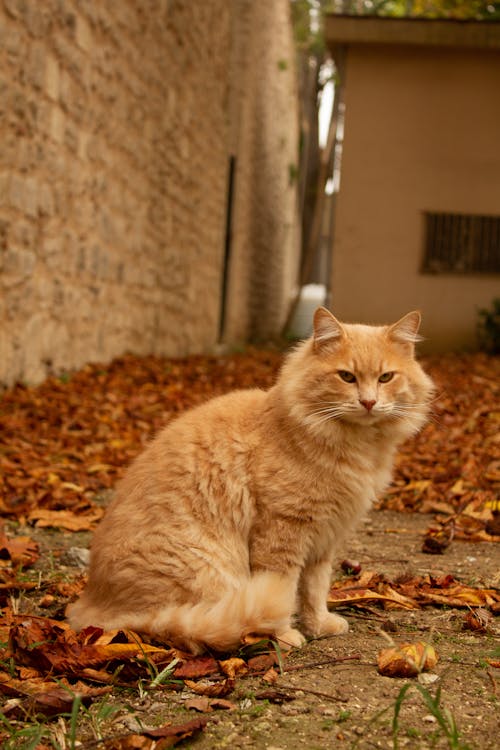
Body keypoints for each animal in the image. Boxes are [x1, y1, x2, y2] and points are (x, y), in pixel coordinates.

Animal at [67, 308, 434, 656]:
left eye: (386, 377)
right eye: (347, 377)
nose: (369, 402)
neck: (355, 447)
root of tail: (92, 606)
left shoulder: (324, 539)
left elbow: (315, 590)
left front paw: (319, 625)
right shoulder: (283, 531)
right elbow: (285, 590)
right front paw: (285, 636)